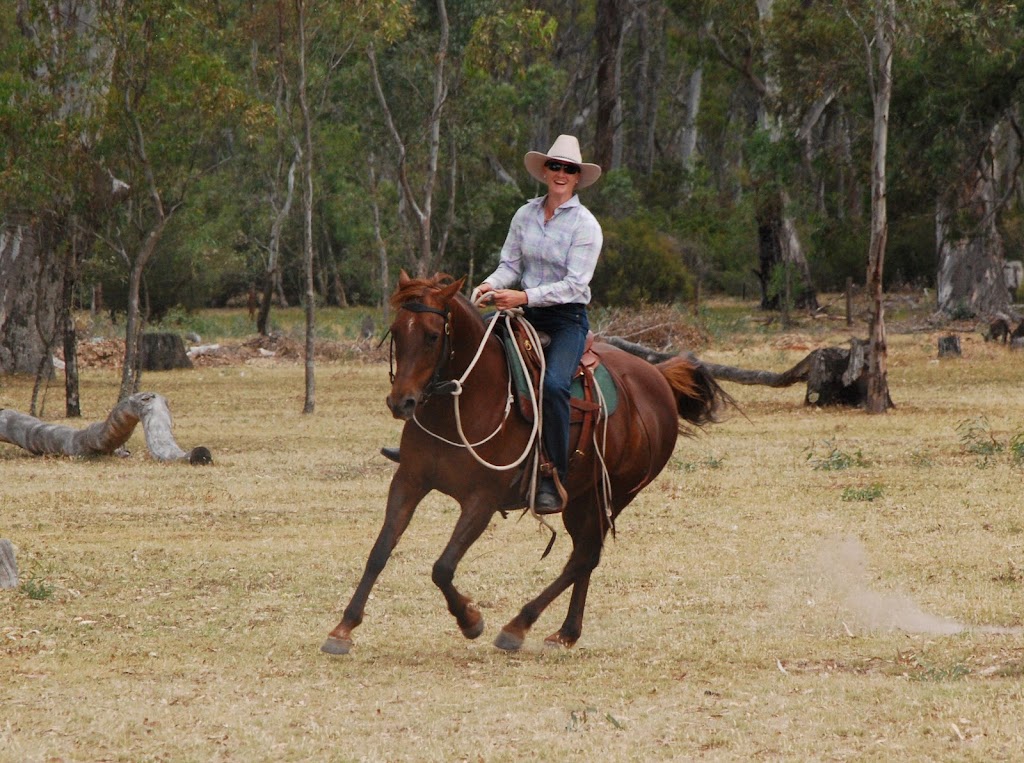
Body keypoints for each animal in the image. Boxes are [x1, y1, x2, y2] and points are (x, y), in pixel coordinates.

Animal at [322, 271, 732, 655]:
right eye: (396, 332)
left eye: (433, 336)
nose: (401, 402)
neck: (465, 402)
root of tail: (657, 378)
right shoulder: (409, 481)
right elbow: (379, 552)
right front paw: (343, 629)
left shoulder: (482, 500)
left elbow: (443, 567)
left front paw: (470, 620)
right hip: (580, 498)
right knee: (586, 556)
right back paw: (565, 633)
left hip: (614, 494)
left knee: (583, 557)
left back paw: (519, 625)